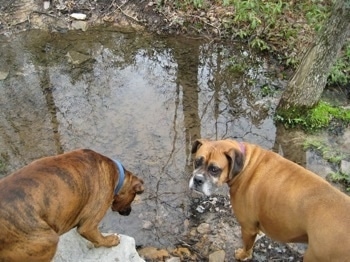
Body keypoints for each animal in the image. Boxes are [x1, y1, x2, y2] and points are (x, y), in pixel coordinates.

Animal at [0, 149, 144, 262]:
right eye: (132, 198)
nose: (129, 212)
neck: (116, 174)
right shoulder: (88, 226)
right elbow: (98, 238)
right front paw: (110, 241)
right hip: (48, 240)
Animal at [190, 139, 350, 260]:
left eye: (214, 169)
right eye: (197, 162)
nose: (197, 179)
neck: (245, 165)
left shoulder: (247, 227)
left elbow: (247, 246)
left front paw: (243, 256)